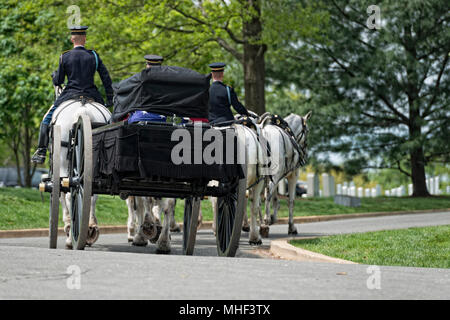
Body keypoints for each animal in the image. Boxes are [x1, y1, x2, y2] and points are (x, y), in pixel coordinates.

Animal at [50, 96, 110, 249]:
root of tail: (82, 108)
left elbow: (62, 196)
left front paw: (68, 228)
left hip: (63, 163)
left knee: (69, 194)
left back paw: (71, 236)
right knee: (92, 195)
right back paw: (90, 230)